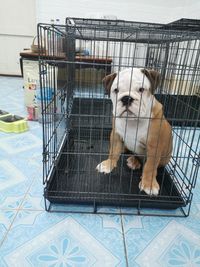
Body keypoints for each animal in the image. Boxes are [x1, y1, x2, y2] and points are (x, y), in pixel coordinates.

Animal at [96, 68, 173, 196]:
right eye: (116, 90)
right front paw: (108, 164)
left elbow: (150, 166)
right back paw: (132, 159)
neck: (132, 122)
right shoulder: (116, 135)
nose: (126, 98)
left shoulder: (154, 145)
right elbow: (113, 151)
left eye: (141, 89)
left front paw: (148, 184)